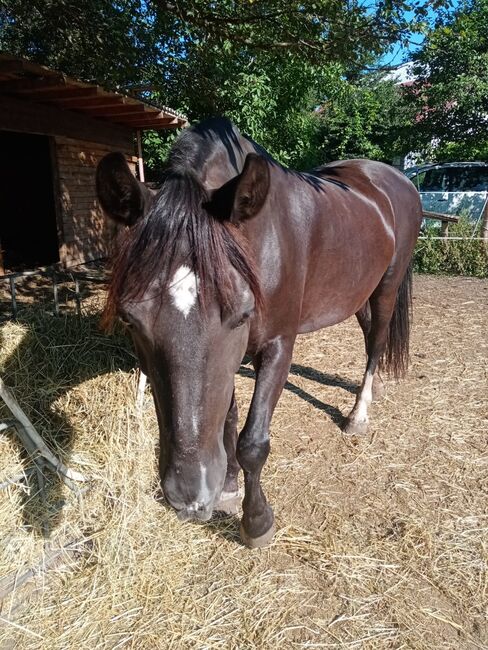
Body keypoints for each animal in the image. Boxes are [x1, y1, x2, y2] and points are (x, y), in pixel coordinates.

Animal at [96, 117, 424, 548]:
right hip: (358, 291)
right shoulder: (232, 362)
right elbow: (228, 421)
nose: (190, 496)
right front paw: (228, 488)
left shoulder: (277, 346)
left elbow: (252, 442)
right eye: (129, 319)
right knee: (371, 333)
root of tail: (396, 178)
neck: (262, 237)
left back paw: (358, 414)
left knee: (378, 340)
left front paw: (256, 522)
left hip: (388, 284)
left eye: (241, 313)